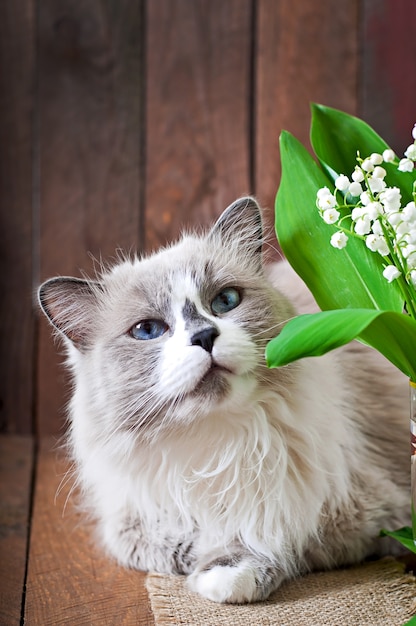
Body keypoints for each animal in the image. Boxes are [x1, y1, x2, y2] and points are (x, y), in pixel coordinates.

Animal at [38, 197, 410, 604]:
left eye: (225, 301)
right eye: (147, 330)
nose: (204, 336)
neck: (216, 444)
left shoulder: (369, 515)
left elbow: (276, 536)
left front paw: (224, 575)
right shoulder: (131, 521)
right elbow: (174, 545)